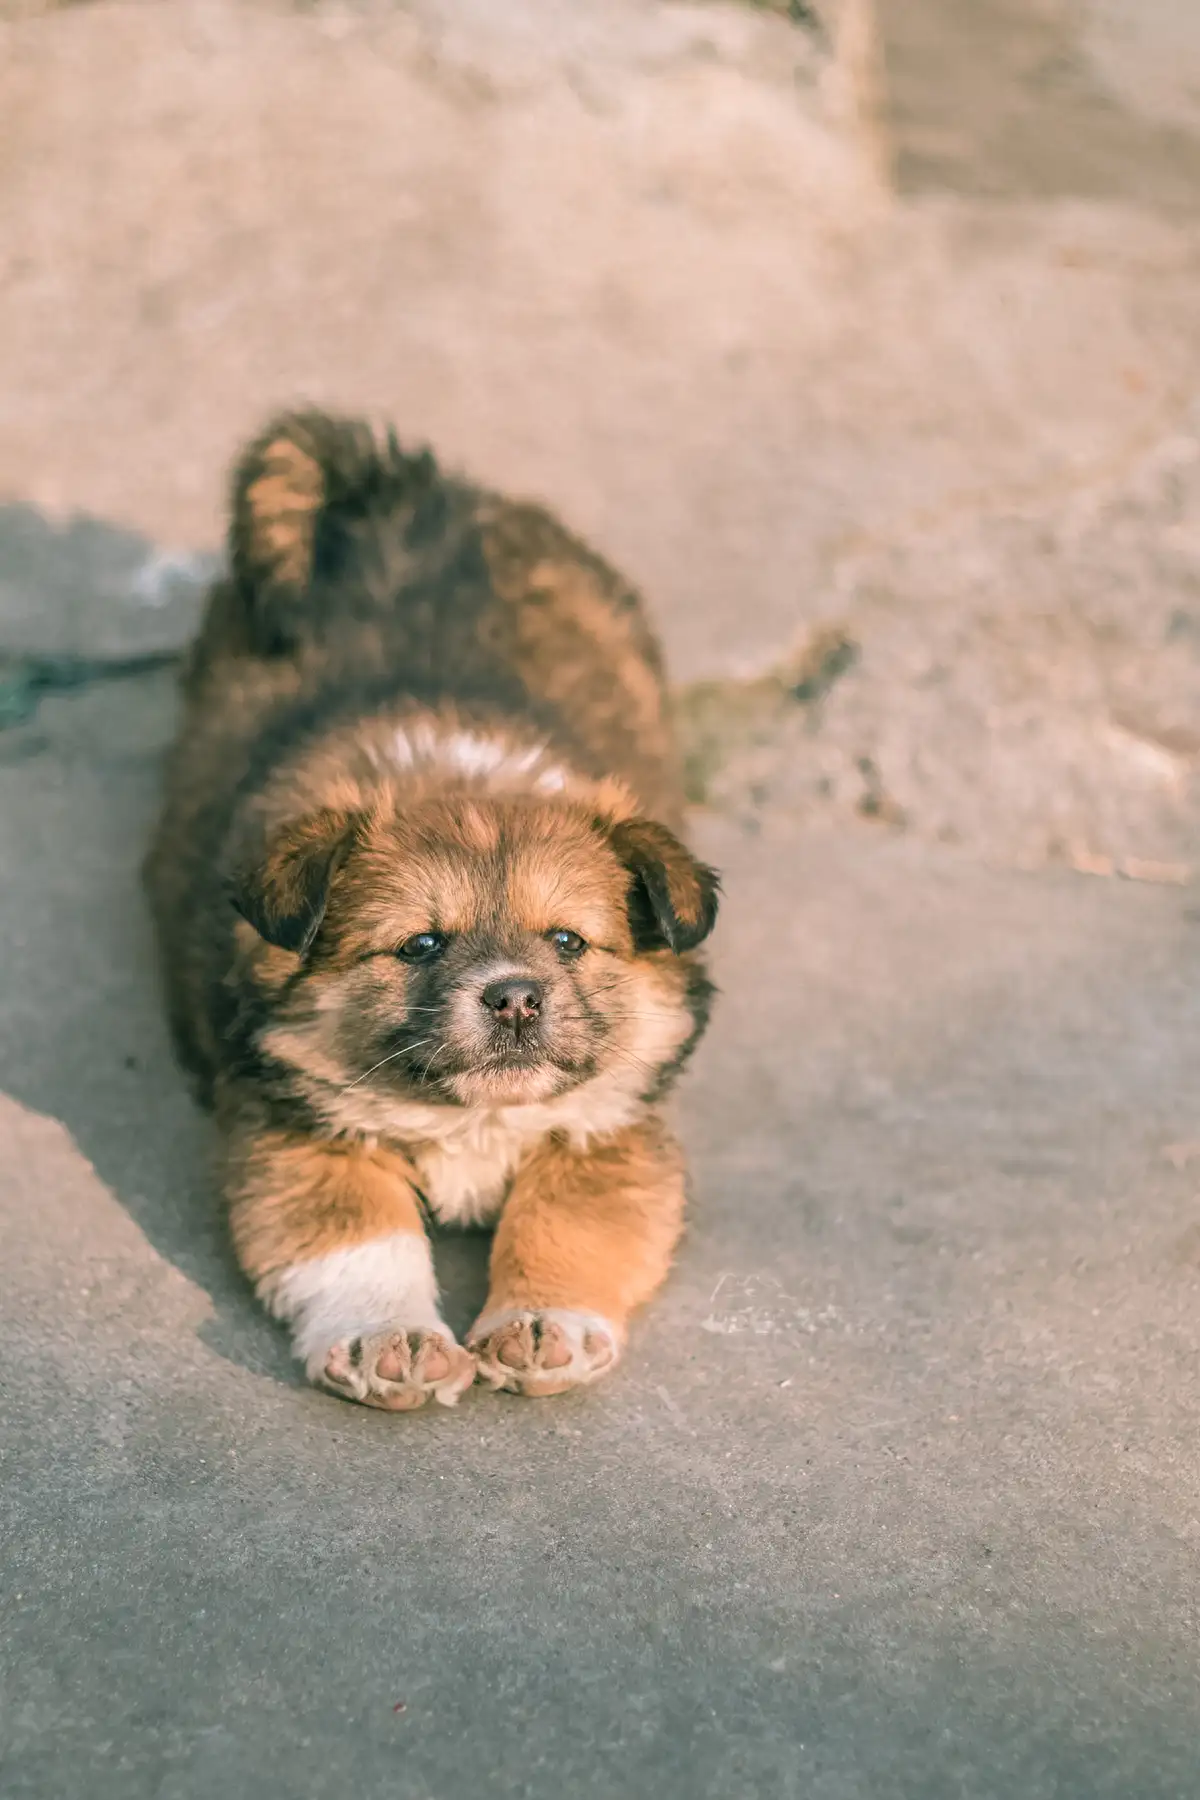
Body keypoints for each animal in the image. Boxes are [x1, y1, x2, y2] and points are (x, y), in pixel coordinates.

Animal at [145, 414, 719, 1411]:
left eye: (568, 941)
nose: (517, 998)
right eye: (418, 945)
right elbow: (361, 1242)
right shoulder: (300, 1139)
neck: (473, 1116)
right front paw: (393, 1345)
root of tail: (408, 491)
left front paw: (544, 1328)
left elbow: (565, 1225)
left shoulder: (610, 1135)